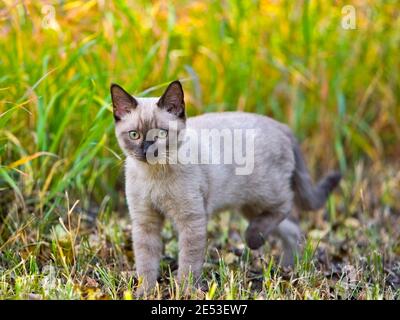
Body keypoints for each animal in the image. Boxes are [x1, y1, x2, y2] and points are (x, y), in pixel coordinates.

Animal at [110, 80, 340, 296]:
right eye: (134, 135)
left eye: (161, 134)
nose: (146, 150)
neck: (154, 174)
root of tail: (281, 125)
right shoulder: (145, 222)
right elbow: (146, 263)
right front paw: (145, 292)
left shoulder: (191, 220)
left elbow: (188, 262)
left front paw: (185, 291)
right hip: (250, 206)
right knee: (291, 229)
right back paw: (288, 267)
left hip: (264, 193)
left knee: (285, 207)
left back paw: (255, 240)